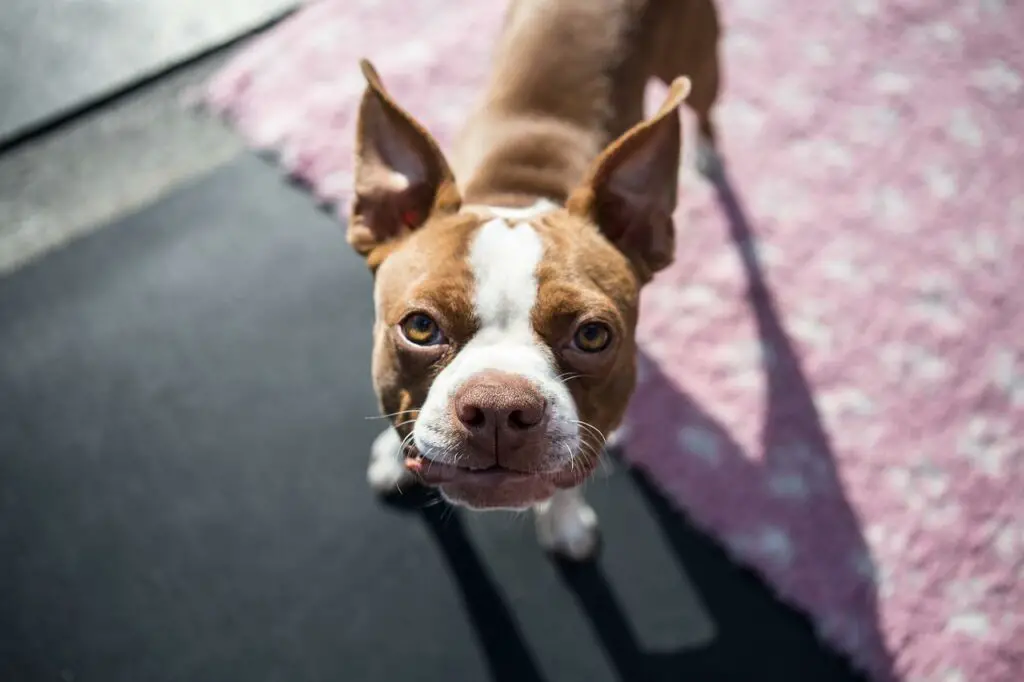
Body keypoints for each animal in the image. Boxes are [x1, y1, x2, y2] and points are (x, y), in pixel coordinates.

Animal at [348, 0, 724, 557]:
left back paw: (709, 153)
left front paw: (565, 524)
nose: (498, 407)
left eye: (593, 335)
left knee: (705, 106)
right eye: (419, 327)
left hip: (699, 62)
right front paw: (392, 456)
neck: (518, 192)